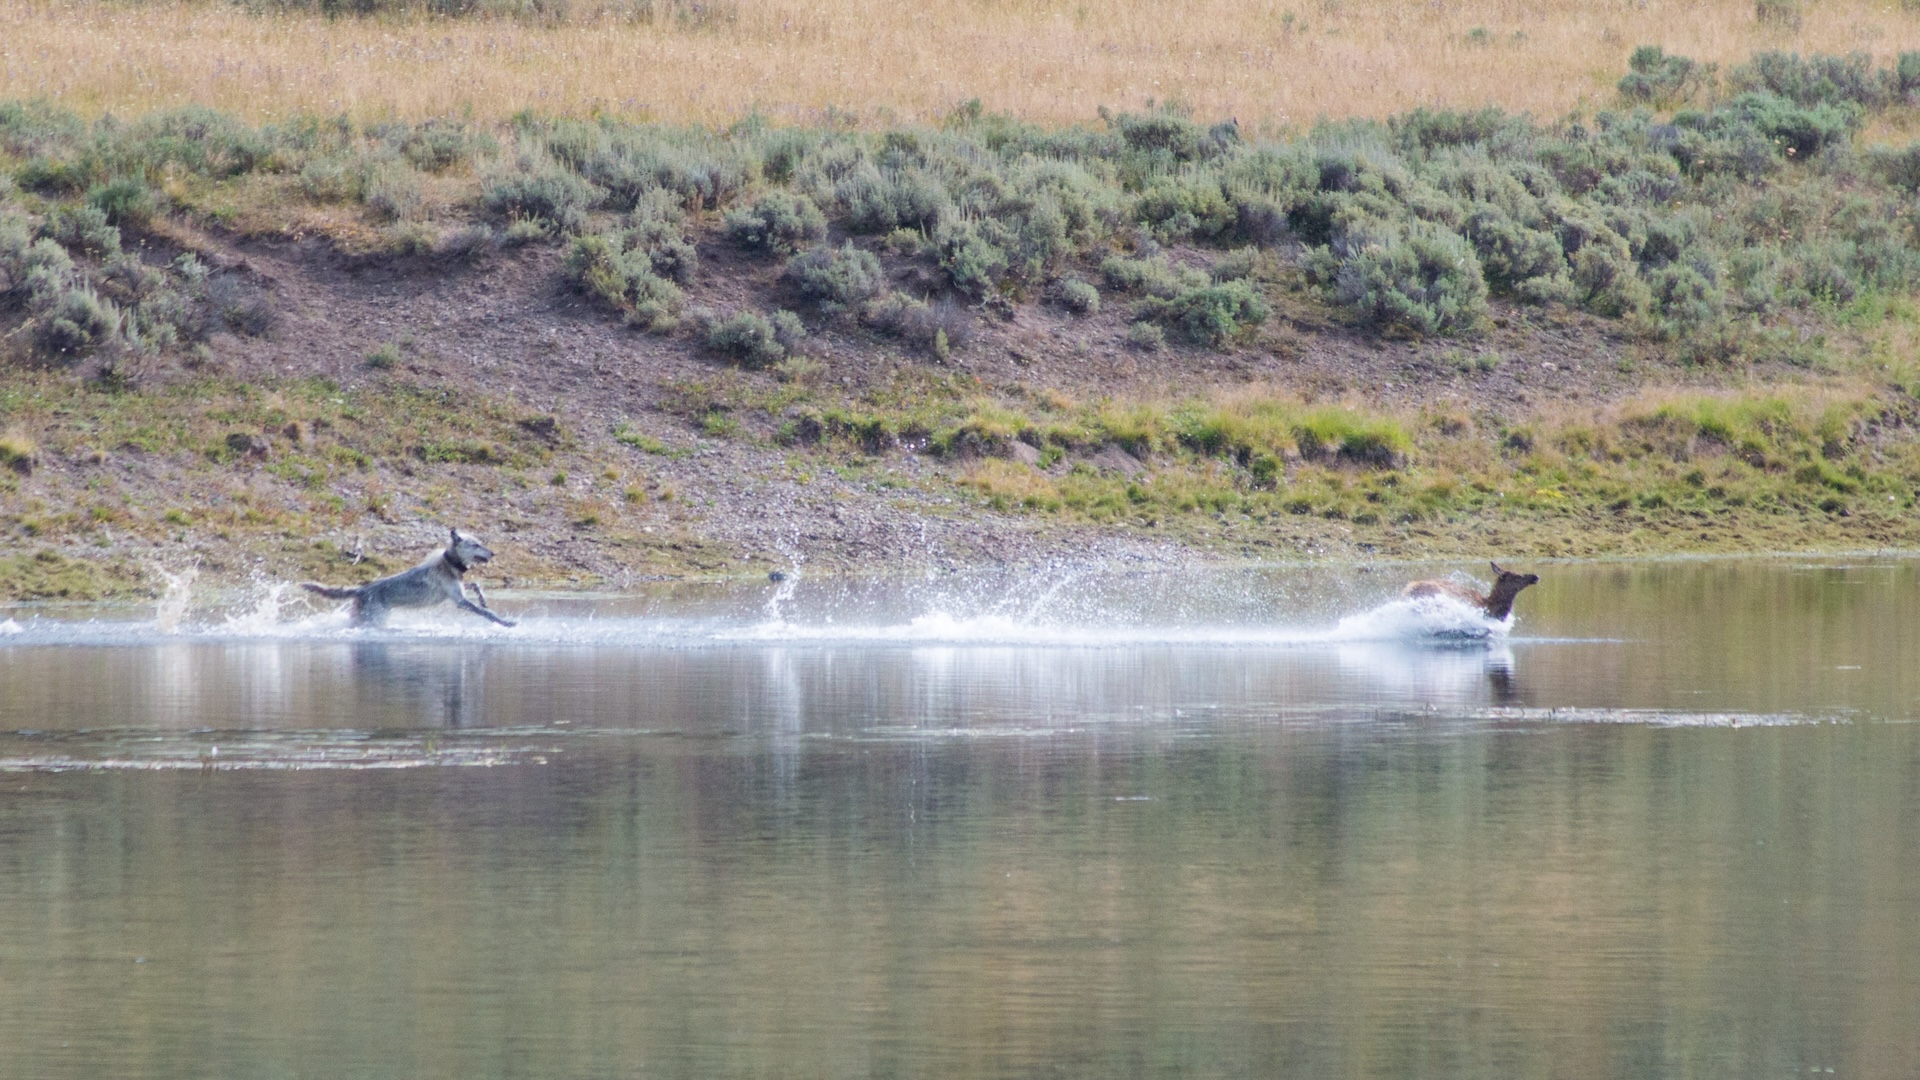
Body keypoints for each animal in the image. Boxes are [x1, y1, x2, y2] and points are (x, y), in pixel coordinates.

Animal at [303, 528, 516, 627]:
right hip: (373, 619)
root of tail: (361, 589)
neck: (449, 563)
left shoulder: (459, 588)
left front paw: (484, 598)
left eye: (481, 542)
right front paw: (506, 622)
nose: (493, 553)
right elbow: (486, 613)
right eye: (476, 545)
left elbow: (476, 585)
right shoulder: (460, 601)